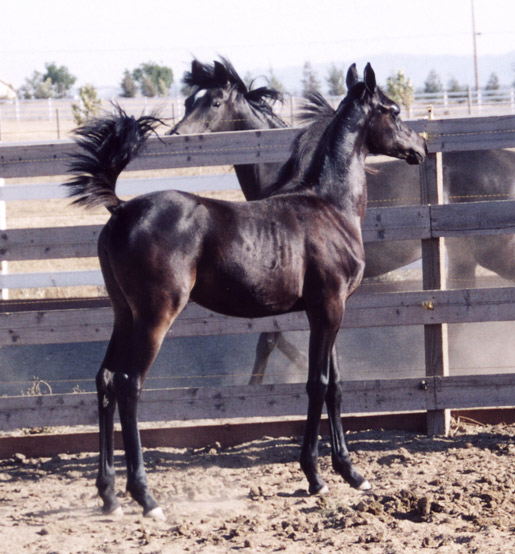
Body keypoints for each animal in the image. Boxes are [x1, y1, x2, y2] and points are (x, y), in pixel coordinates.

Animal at [65, 63, 428, 516]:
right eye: (392, 110)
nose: (421, 147)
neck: (329, 205)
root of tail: (121, 210)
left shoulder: (327, 311)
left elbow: (336, 385)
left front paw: (352, 473)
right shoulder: (329, 307)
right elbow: (317, 383)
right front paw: (315, 477)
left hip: (123, 314)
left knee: (106, 380)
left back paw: (109, 494)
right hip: (154, 316)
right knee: (130, 385)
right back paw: (145, 496)